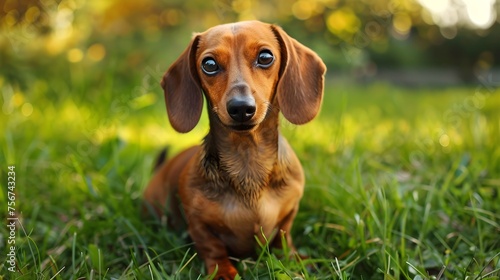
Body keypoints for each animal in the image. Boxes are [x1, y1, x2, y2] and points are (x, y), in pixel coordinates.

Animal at [143, 20, 326, 278]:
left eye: (266, 57)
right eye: (209, 64)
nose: (241, 108)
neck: (247, 159)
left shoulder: (289, 215)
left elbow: (283, 238)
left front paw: (297, 260)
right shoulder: (197, 224)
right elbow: (211, 246)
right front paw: (223, 271)